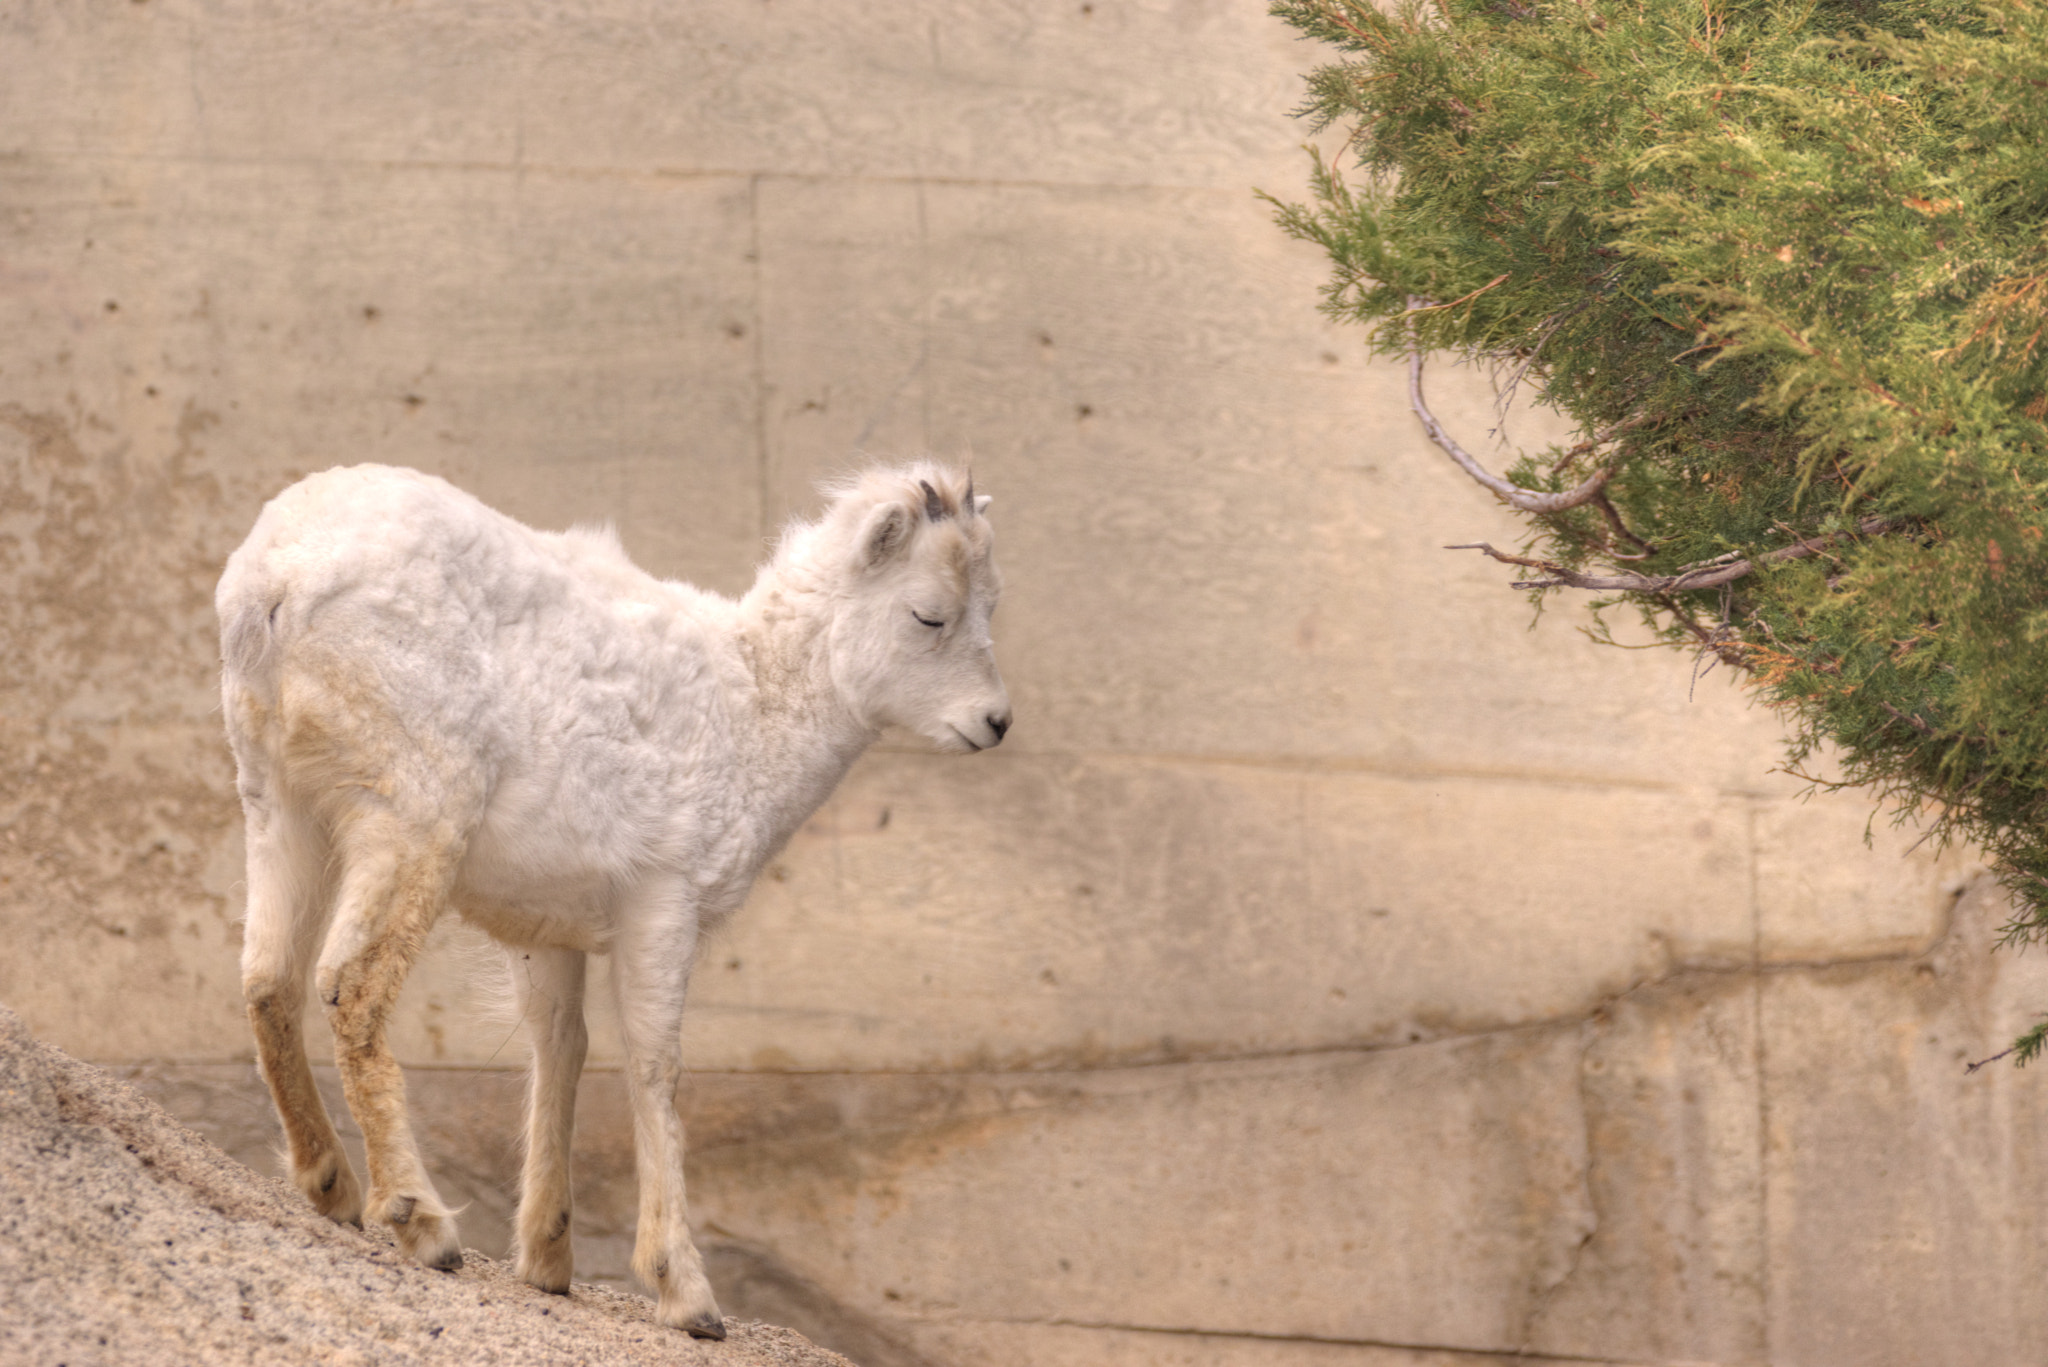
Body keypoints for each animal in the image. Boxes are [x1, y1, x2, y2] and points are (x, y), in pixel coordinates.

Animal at [216, 462, 1009, 1338]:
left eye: (991, 604)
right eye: (929, 612)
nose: (994, 721)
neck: (752, 713)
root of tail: (276, 584)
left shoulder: (548, 931)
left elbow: (560, 1048)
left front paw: (548, 1263)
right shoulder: (663, 901)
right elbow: (655, 1065)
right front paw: (688, 1295)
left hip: (282, 806)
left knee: (268, 979)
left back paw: (330, 1185)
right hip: (412, 817)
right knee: (351, 987)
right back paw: (423, 1224)